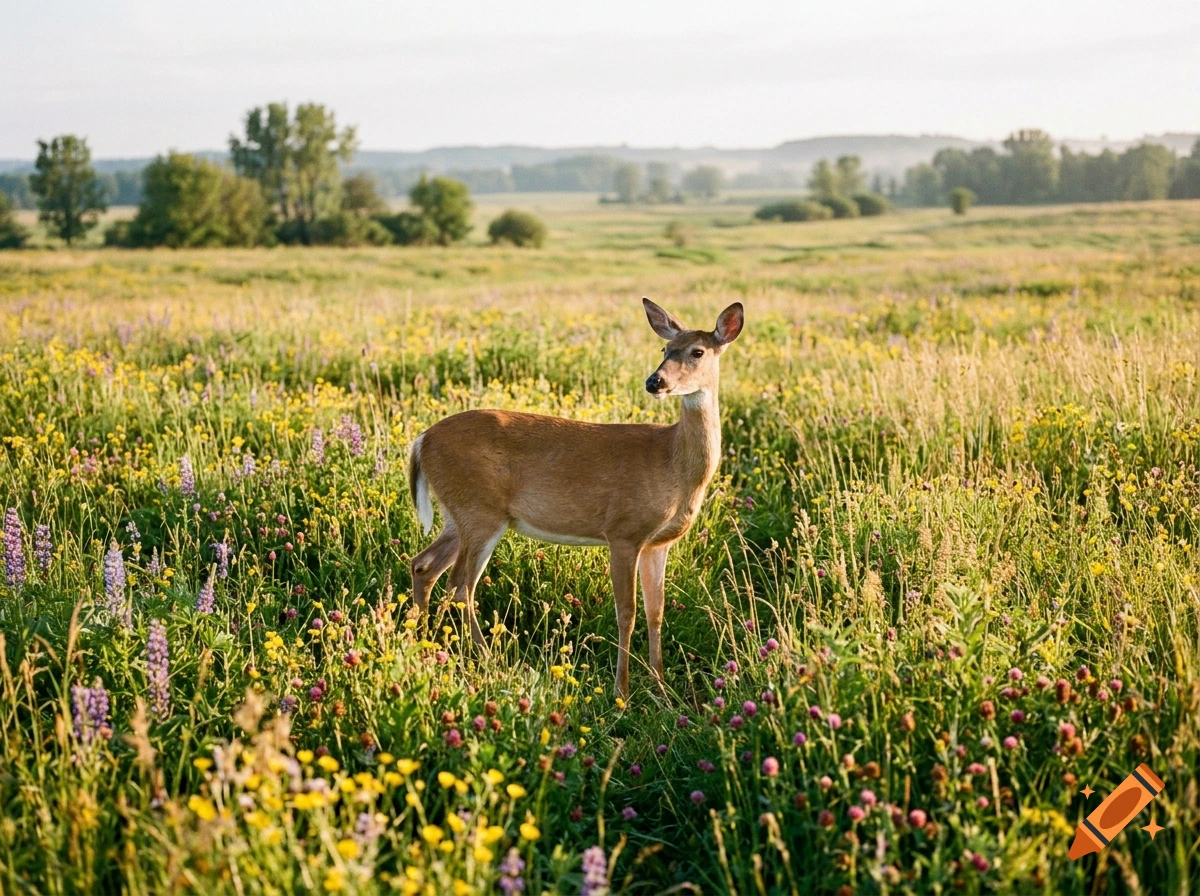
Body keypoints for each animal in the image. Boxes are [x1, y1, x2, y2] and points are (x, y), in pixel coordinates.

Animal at [406, 298, 744, 697]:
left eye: (697, 351)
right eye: (665, 349)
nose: (655, 381)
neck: (672, 462)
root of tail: (421, 441)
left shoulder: (658, 543)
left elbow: (656, 612)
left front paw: (662, 689)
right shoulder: (623, 531)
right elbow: (627, 612)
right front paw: (621, 691)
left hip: (457, 514)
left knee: (424, 565)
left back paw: (424, 643)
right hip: (479, 511)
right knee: (460, 585)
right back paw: (489, 661)